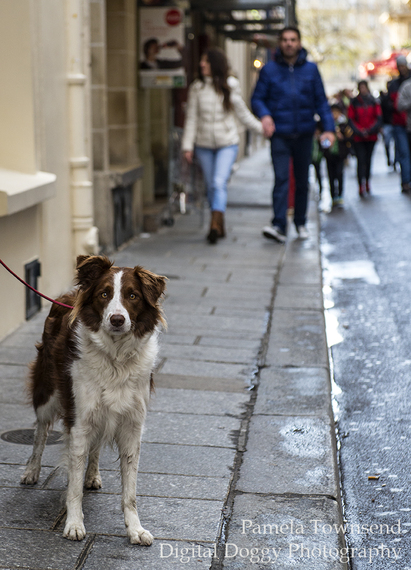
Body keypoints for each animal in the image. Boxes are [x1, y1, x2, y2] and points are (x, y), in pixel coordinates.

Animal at [20, 255, 168, 544]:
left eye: (132, 295)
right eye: (104, 294)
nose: (117, 319)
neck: (116, 357)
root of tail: (67, 294)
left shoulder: (132, 425)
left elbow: (130, 491)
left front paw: (135, 529)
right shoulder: (80, 419)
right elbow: (74, 483)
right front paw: (74, 523)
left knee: (96, 446)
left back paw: (92, 475)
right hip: (47, 392)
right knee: (41, 432)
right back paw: (32, 470)